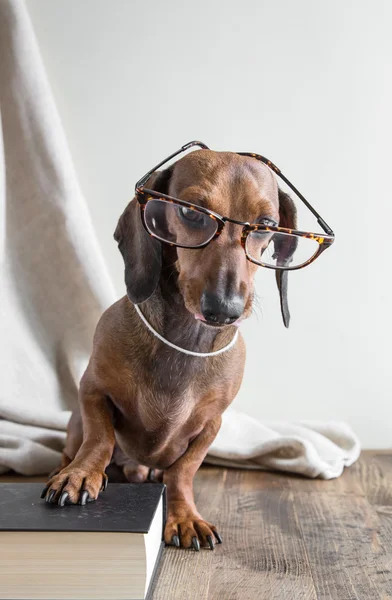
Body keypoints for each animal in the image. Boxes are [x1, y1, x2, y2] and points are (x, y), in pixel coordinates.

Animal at [40, 148, 298, 552]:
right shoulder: (92, 390)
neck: (184, 341)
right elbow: (100, 438)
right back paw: (67, 467)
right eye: (191, 212)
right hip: (74, 424)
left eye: (267, 224)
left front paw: (184, 515)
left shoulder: (211, 424)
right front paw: (81, 475)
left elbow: (183, 471)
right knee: (75, 446)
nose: (223, 309)